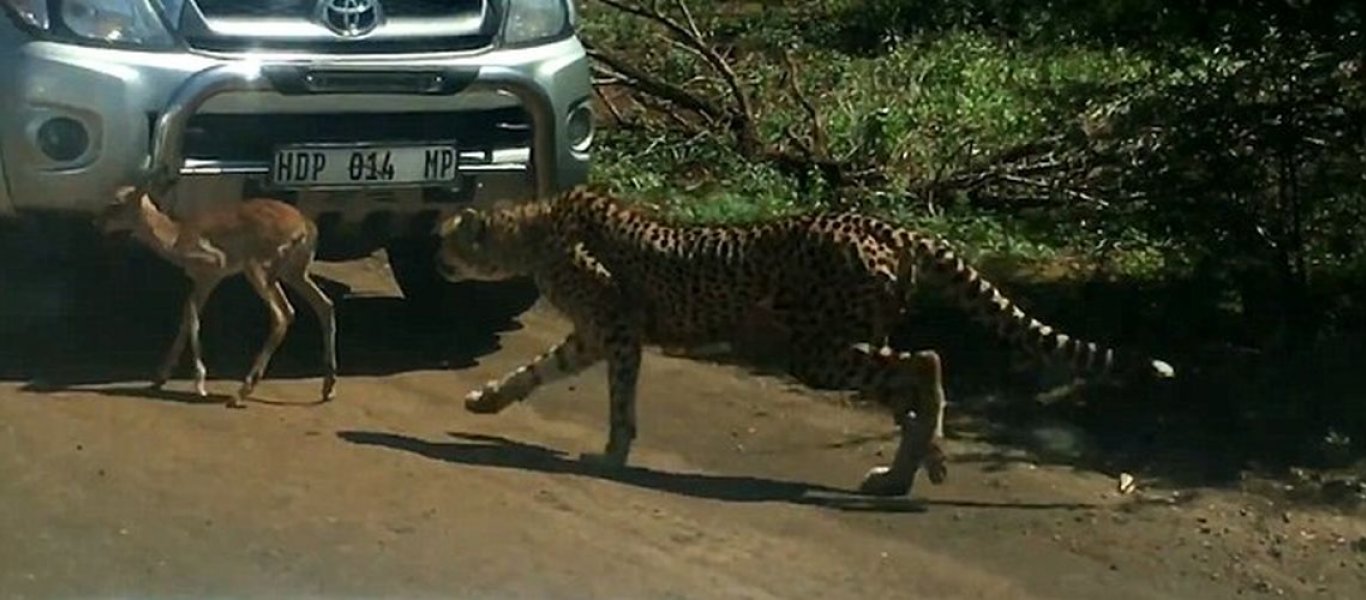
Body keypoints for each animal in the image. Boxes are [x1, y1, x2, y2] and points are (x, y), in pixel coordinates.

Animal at [96, 184, 338, 410]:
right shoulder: (202, 282)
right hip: (291, 274)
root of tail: (305, 225)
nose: (98, 222)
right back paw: (328, 387)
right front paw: (160, 377)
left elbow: (192, 318)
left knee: (282, 315)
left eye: (116, 203)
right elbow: (187, 316)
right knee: (324, 305)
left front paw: (199, 382)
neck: (177, 236)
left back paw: (240, 393)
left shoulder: (211, 273)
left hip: (258, 269)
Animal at [437, 187, 1174, 497]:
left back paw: (927, 462)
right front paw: (486, 402)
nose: (438, 261)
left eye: (449, 238)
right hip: (844, 342)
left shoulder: (618, 331)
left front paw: (613, 455)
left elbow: (620, 399)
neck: (532, 230)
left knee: (927, 363)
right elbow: (537, 368)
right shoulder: (593, 335)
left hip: (816, 349)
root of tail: (885, 225)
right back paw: (902, 475)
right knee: (910, 383)